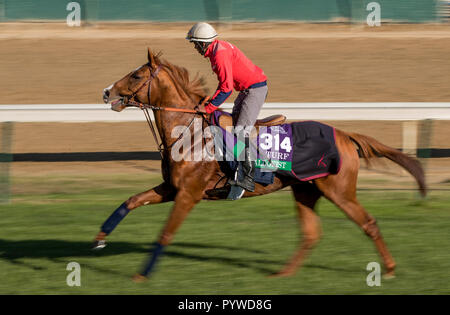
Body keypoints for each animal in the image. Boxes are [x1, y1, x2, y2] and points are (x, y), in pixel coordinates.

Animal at [97, 49, 426, 284]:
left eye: (136, 75)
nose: (106, 92)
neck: (188, 133)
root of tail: (344, 134)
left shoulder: (188, 194)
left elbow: (165, 233)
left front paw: (142, 274)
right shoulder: (171, 188)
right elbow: (131, 201)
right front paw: (100, 238)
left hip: (340, 191)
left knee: (368, 223)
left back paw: (390, 269)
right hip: (306, 191)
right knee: (311, 234)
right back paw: (283, 274)